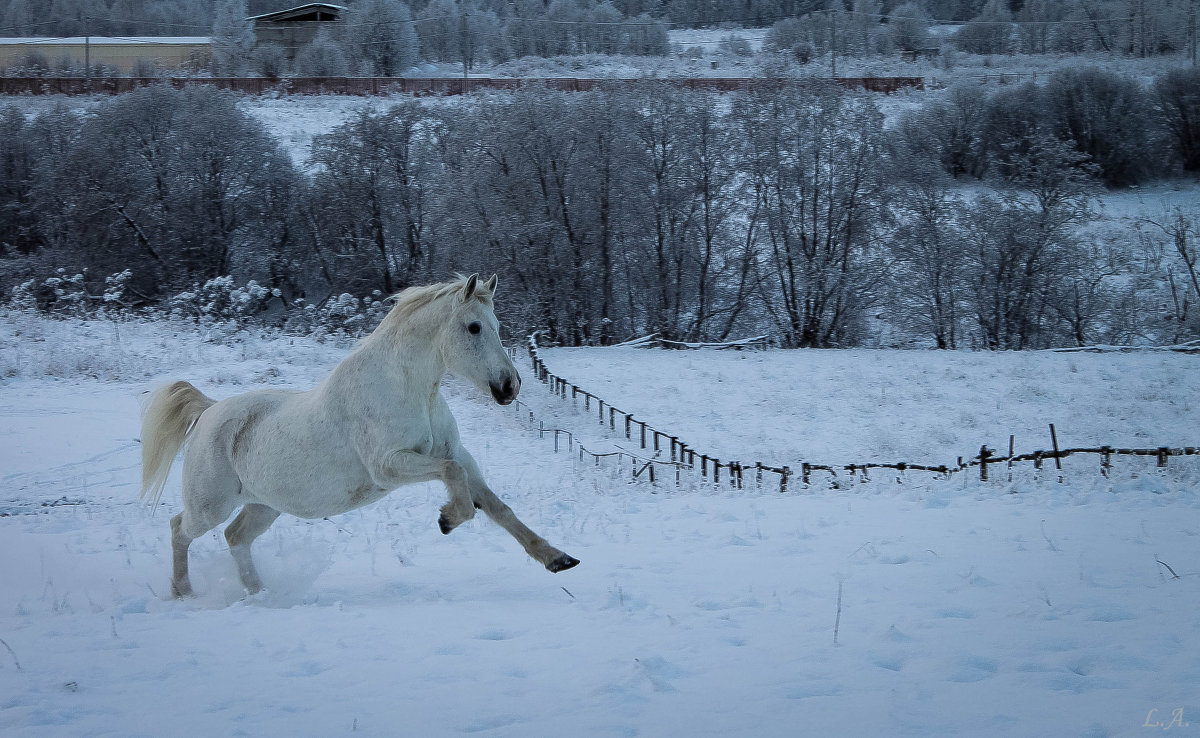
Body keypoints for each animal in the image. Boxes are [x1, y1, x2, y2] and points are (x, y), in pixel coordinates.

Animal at [140, 274, 580, 597]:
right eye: (473, 327)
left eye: (497, 327)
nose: (509, 387)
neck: (407, 390)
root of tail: (209, 410)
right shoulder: (389, 466)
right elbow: (455, 482)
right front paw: (447, 519)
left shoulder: (458, 454)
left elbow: (497, 508)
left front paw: (558, 559)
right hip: (210, 506)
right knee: (179, 529)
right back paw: (184, 593)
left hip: (264, 505)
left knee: (235, 537)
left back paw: (260, 594)